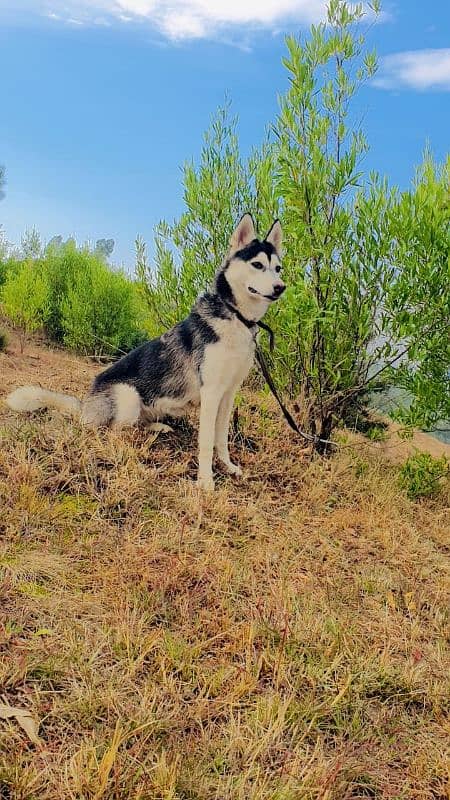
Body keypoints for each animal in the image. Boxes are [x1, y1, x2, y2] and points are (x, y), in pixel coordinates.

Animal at [6, 212, 284, 488]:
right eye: (258, 265)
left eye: (278, 268)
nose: (281, 287)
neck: (236, 316)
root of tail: (85, 404)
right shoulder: (211, 392)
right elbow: (206, 443)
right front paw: (205, 483)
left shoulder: (228, 394)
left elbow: (221, 439)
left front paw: (227, 467)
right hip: (127, 396)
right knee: (116, 429)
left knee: (140, 422)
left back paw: (157, 428)